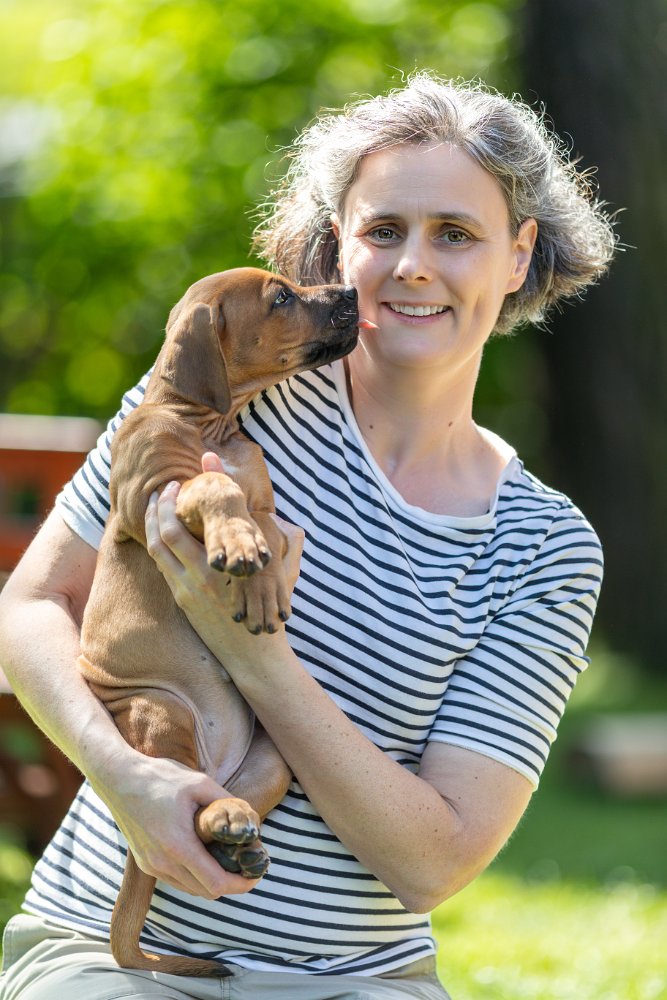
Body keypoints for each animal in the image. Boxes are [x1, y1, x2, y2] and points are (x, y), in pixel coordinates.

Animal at [77, 267, 366, 976]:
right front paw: (238, 550)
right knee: (188, 791)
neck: (210, 423)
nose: (349, 292)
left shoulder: (264, 503)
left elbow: (262, 521)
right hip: (159, 710)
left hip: (274, 762)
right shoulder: (154, 493)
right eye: (282, 297)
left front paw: (259, 580)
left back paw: (237, 836)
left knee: (213, 803)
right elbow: (216, 489)